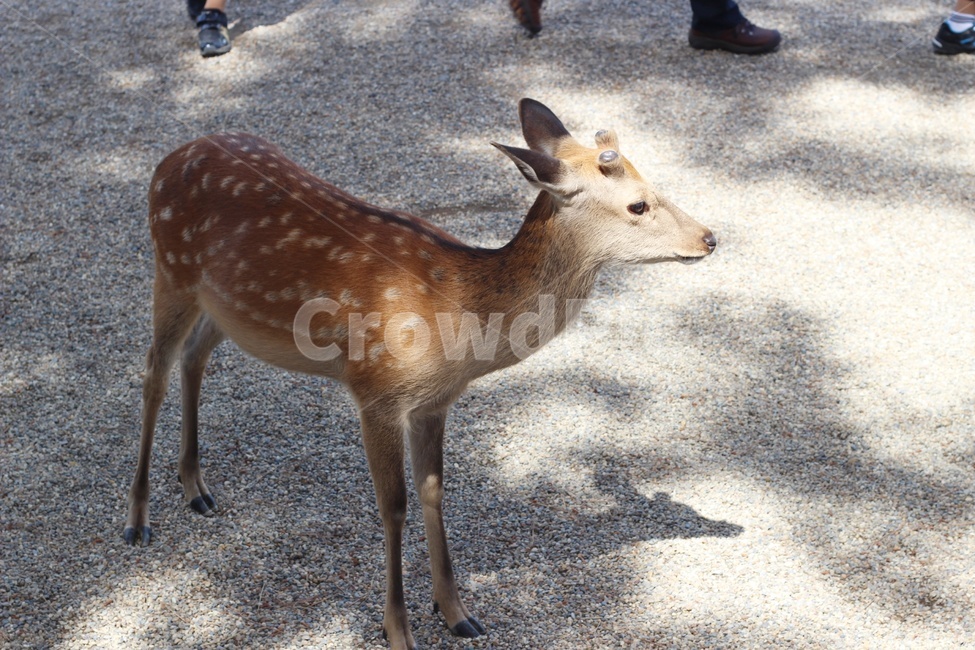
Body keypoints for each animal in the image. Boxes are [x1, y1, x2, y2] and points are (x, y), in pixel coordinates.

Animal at [123, 98, 715, 649]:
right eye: (638, 204)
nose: (710, 237)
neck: (459, 316)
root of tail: (170, 158)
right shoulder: (376, 389)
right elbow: (394, 506)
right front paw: (397, 629)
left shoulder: (435, 400)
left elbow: (434, 492)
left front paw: (457, 612)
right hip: (170, 267)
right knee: (153, 372)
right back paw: (138, 519)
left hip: (222, 306)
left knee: (194, 357)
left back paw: (196, 487)